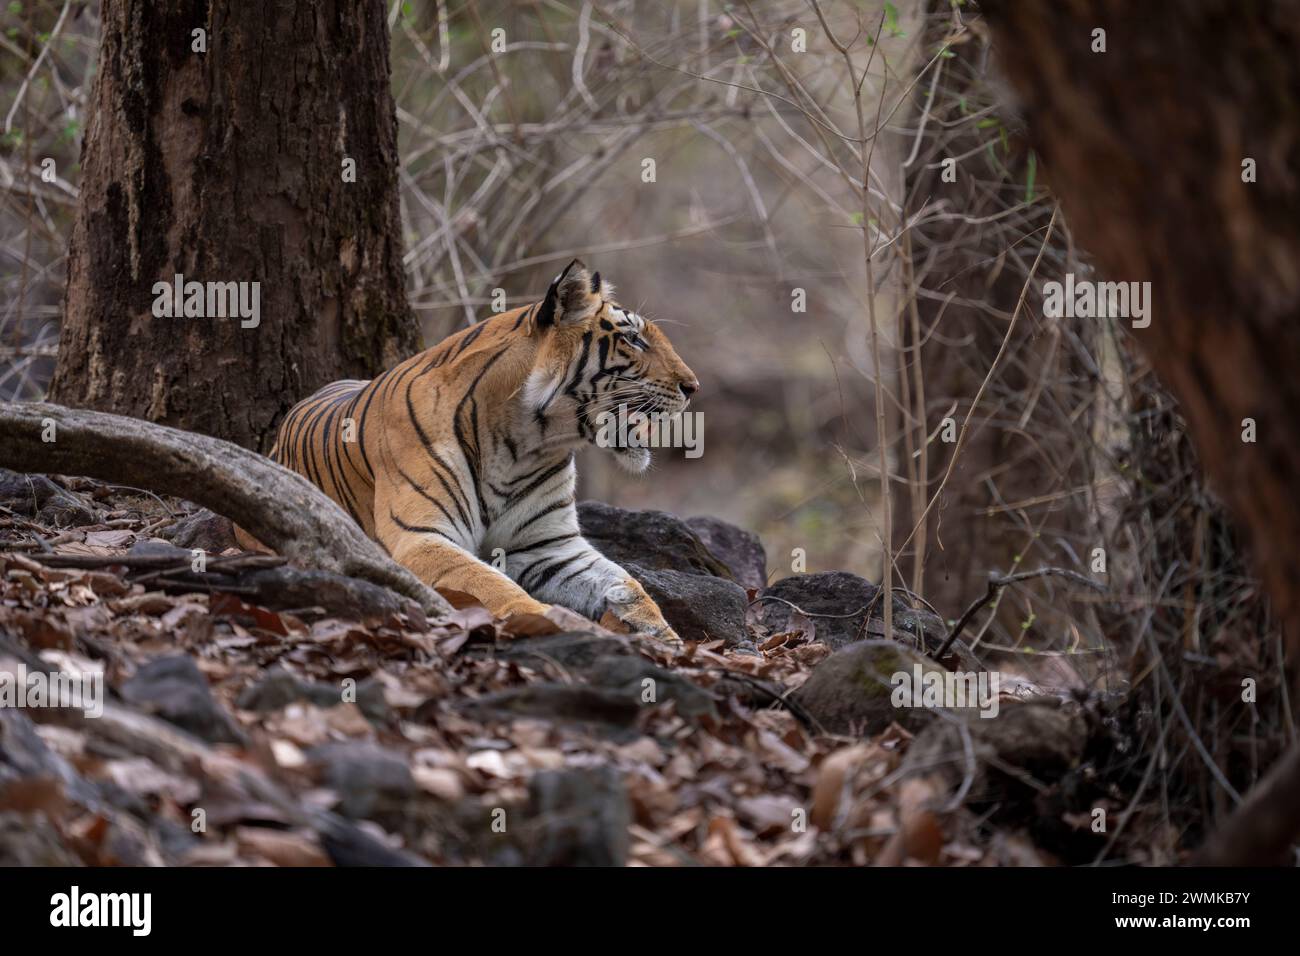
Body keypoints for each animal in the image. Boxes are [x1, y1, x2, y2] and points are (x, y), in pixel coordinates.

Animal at [263, 260, 698, 644]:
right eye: (634, 339)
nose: (693, 387)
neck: (526, 444)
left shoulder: (550, 547)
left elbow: (630, 583)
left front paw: (664, 636)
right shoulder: (421, 537)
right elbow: (489, 584)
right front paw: (554, 621)